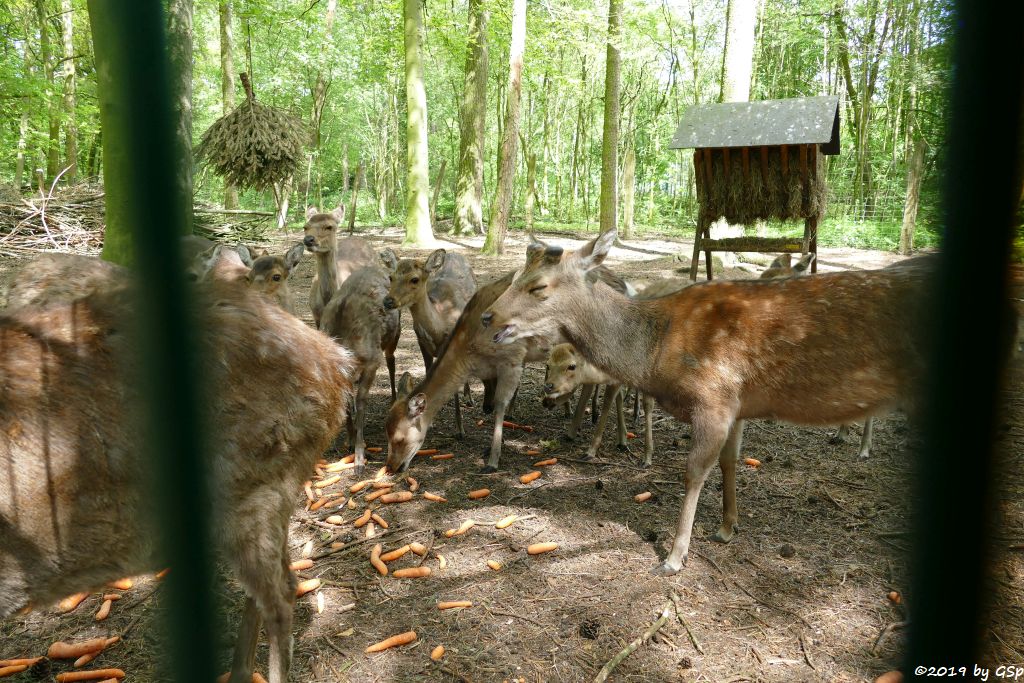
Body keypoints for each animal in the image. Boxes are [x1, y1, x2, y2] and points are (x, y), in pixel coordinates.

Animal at [319, 264, 399, 473]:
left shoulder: (372, 362)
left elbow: (361, 401)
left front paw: (360, 457)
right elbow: (348, 403)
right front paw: (349, 439)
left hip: (393, 337)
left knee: (391, 361)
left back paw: (394, 398)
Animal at [382, 248, 477, 436]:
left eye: (414, 279)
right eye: (391, 277)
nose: (388, 301)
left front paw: (460, 429)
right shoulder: (422, 343)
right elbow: (428, 373)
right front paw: (429, 422)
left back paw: (469, 398)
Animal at [481, 232, 937, 573]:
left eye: (538, 286)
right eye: (515, 275)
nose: (487, 317)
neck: (656, 352)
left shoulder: (714, 397)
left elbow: (694, 471)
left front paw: (674, 557)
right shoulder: (738, 405)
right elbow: (730, 461)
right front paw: (727, 527)